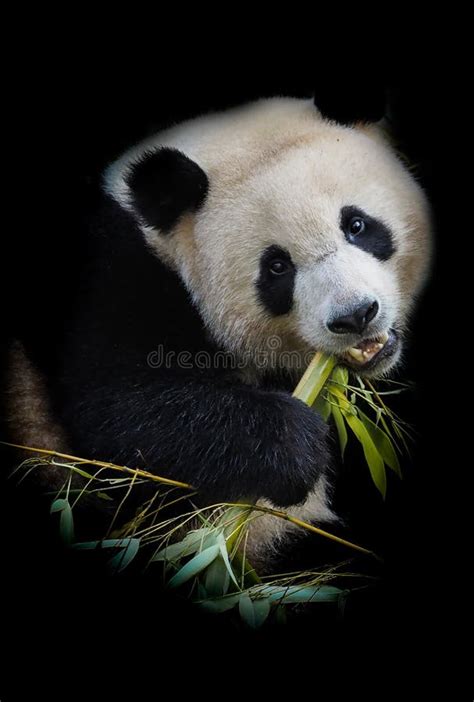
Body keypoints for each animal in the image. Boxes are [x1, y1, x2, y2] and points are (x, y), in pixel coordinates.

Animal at [4, 97, 434, 572]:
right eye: (277, 267)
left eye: (356, 225)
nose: (355, 316)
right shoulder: (113, 281)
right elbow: (121, 417)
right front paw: (294, 443)